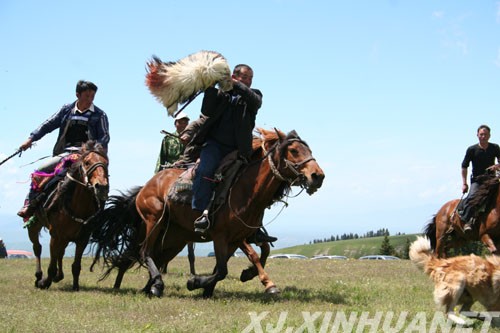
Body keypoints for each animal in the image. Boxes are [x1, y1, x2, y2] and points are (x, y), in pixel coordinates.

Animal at [27, 141, 108, 290]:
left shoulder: (82, 239)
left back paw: (58, 276)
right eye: (87, 162)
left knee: (60, 252)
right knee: (37, 247)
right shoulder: (55, 235)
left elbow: (76, 265)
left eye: (106, 163)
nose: (102, 187)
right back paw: (39, 276)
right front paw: (45, 282)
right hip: (34, 225)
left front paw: (75, 286)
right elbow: (51, 265)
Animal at [91, 127, 324, 296]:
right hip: (153, 222)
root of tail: (145, 187)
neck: (246, 190)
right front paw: (196, 283)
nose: (318, 176)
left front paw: (212, 286)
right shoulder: (221, 236)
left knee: (150, 256)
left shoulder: (238, 237)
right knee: (144, 252)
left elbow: (243, 260)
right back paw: (156, 285)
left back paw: (147, 286)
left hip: (174, 238)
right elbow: (224, 268)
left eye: (310, 151)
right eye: (294, 151)